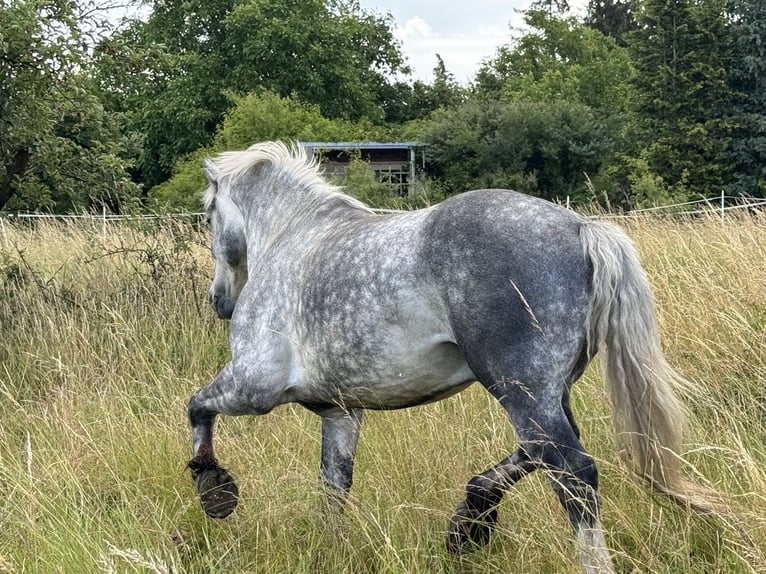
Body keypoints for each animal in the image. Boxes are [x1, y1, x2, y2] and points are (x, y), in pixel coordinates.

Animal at [189, 142, 716, 572]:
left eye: (209, 213)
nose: (220, 302)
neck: (293, 238)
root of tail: (582, 228)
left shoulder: (254, 385)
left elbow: (197, 408)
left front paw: (214, 491)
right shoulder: (341, 413)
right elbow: (334, 490)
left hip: (520, 391)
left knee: (572, 472)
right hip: (543, 392)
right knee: (539, 453)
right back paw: (469, 521)